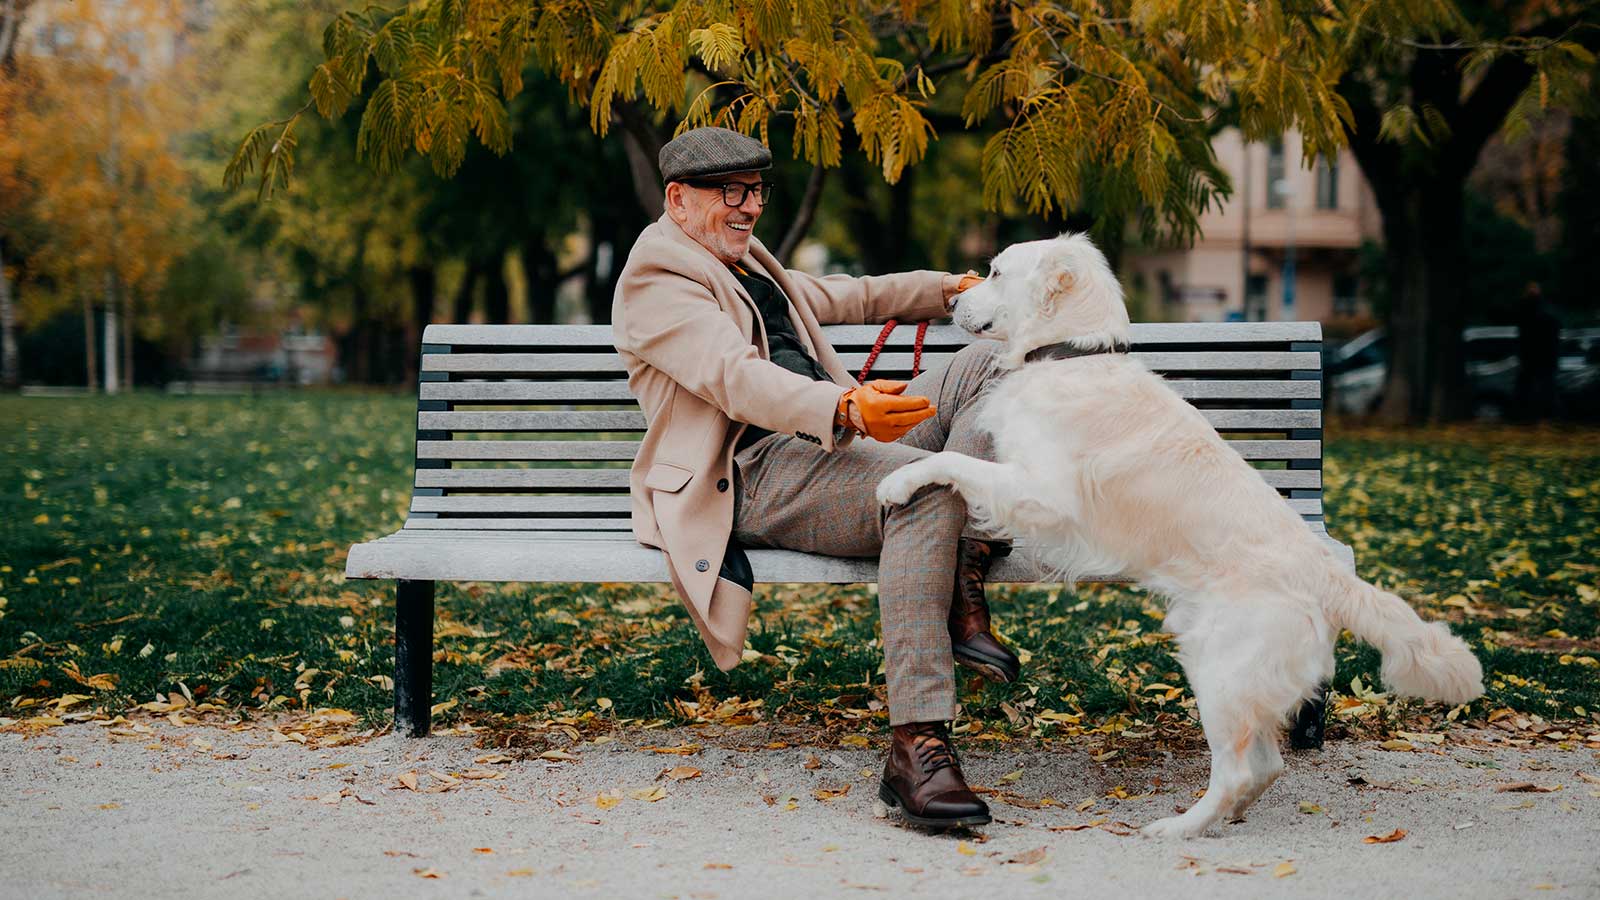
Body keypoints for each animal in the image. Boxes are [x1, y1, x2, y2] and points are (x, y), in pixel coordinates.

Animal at [883, 235, 1478, 839]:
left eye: (998, 273)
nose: (952, 304)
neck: (1070, 356)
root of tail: (1329, 573)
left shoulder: (1048, 495)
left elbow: (954, 461)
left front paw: (898, 480)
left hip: (1219, 667)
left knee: (1240, 770)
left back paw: (1178, 829)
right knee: (1267, 765)